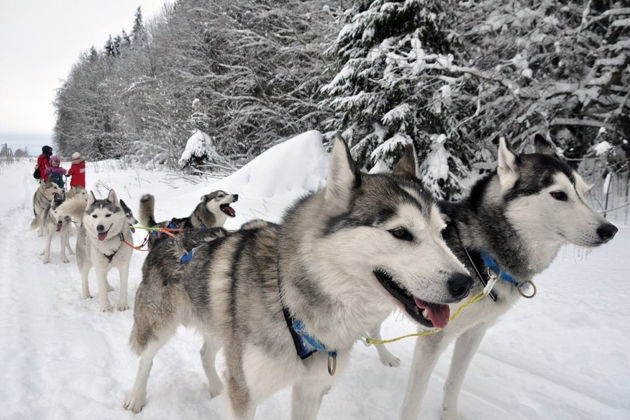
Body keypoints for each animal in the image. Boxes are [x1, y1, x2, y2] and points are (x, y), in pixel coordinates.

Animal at [126, 137, 476, 416]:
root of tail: (169, 233)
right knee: (145, 360)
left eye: (441, 231)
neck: (290, 302)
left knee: (205, 353)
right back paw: (136, 398)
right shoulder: (246, 395)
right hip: (158, 326)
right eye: (401, 232)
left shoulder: (311, 389)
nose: (466, 283)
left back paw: (215, 387)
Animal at [386, 136, 624, 418]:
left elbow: (454, 382)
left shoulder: (474, 332)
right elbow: (413, 400)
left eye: (584, 192)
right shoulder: (433, 336)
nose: (610, 230)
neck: (481, 254)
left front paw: (449, 413)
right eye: (559, 194)